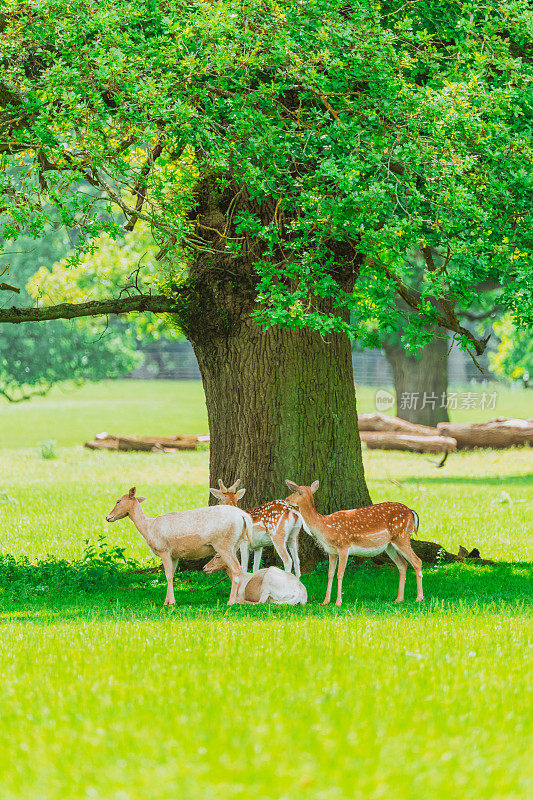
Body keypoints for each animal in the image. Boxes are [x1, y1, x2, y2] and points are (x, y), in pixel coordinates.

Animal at [107, 488, 252, 608]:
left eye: (118, 501)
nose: (108, 517)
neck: (148, 528)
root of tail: (244, 516)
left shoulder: (164, 549)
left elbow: (167, 575)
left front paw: (171, 603)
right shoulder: (174, 555)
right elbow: (172, 574)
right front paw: (166, 601)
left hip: (223, 543)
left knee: (236, 568)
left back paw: (230, 601)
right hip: (235, 543)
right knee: (237, 568)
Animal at [284, 478, 422, 604]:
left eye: (296, 491)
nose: (286, 499)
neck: (325, 527)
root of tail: (412, 512)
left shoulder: (343, 546)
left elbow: (340, 573)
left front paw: (338, 602)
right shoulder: (331, 551)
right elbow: (330, 574)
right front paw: (325, 601)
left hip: (402, 537)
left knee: (417, 561)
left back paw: (419, 598)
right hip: (390, 545)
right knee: (403, 564)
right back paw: (399, 599)